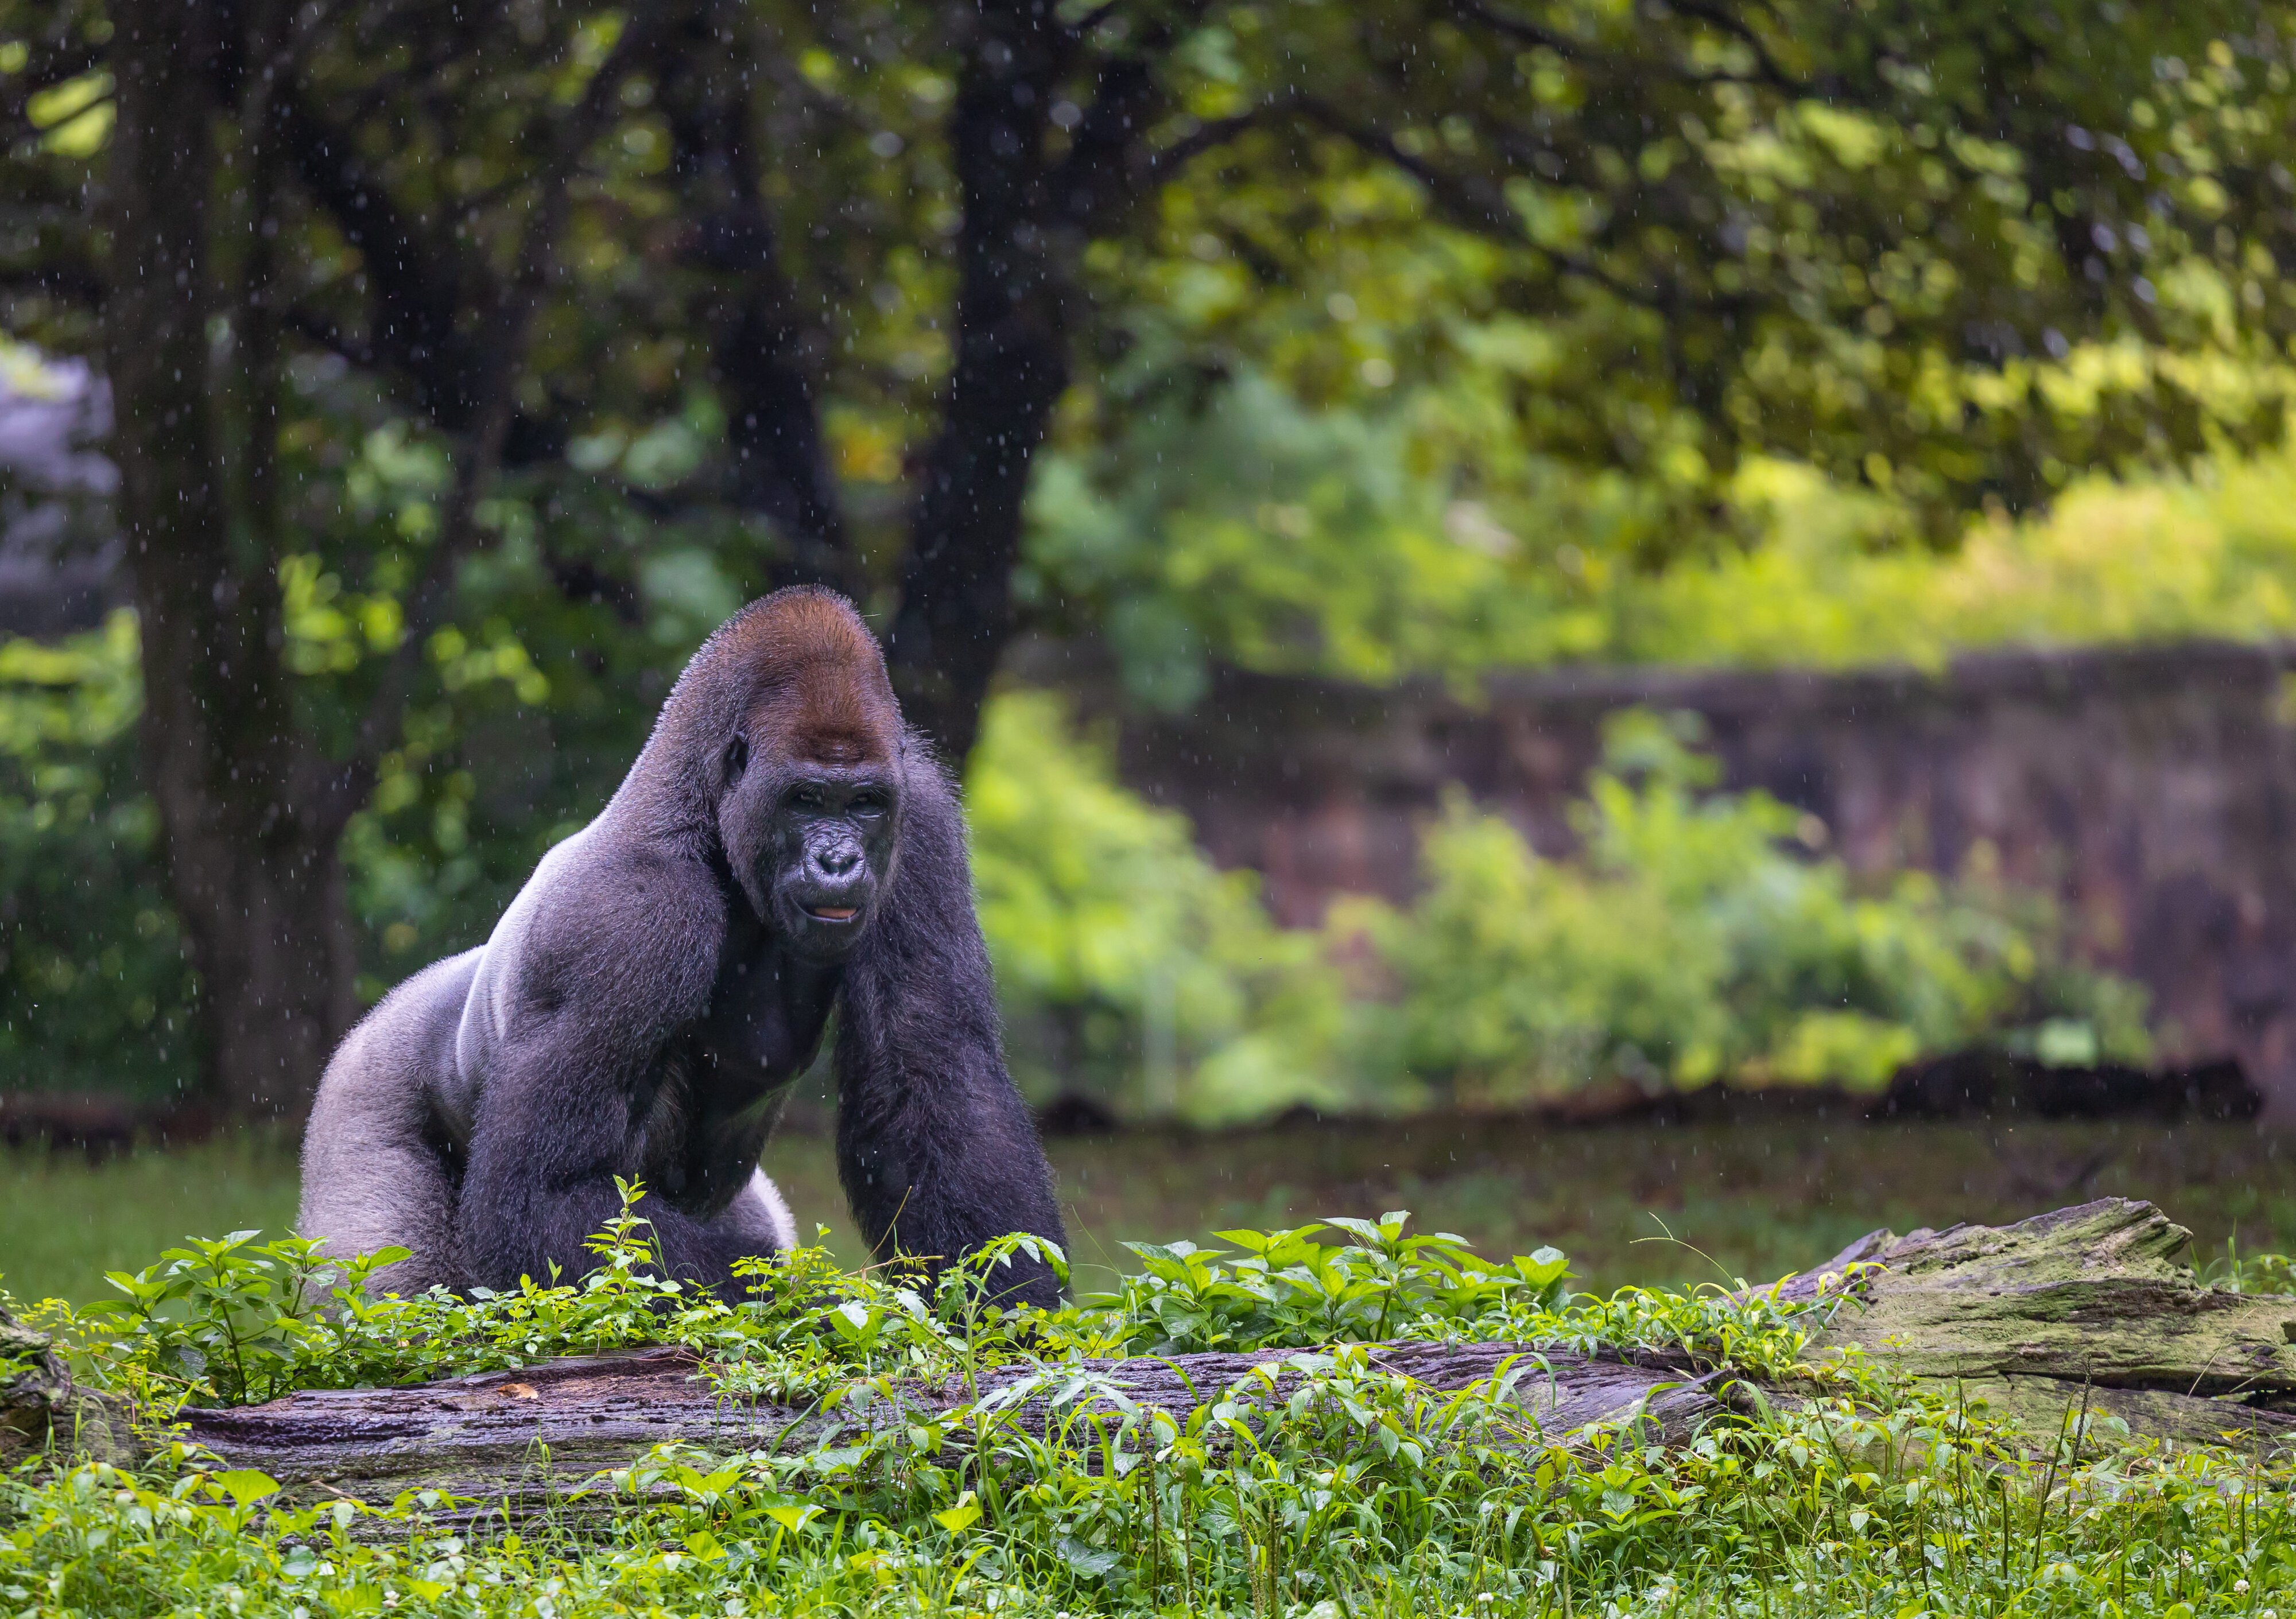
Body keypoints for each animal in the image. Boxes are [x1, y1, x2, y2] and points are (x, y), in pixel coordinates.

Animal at [294, 588, 1065, 1304]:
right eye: (805, 800)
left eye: (866, 804)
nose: (839, 863)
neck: (702, 808)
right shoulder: (630, 917)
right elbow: (542, 1193)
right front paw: (813, 1305)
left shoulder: (922, 819)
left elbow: (933, 1079)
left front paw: (1014, 1307)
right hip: (362, 1092)